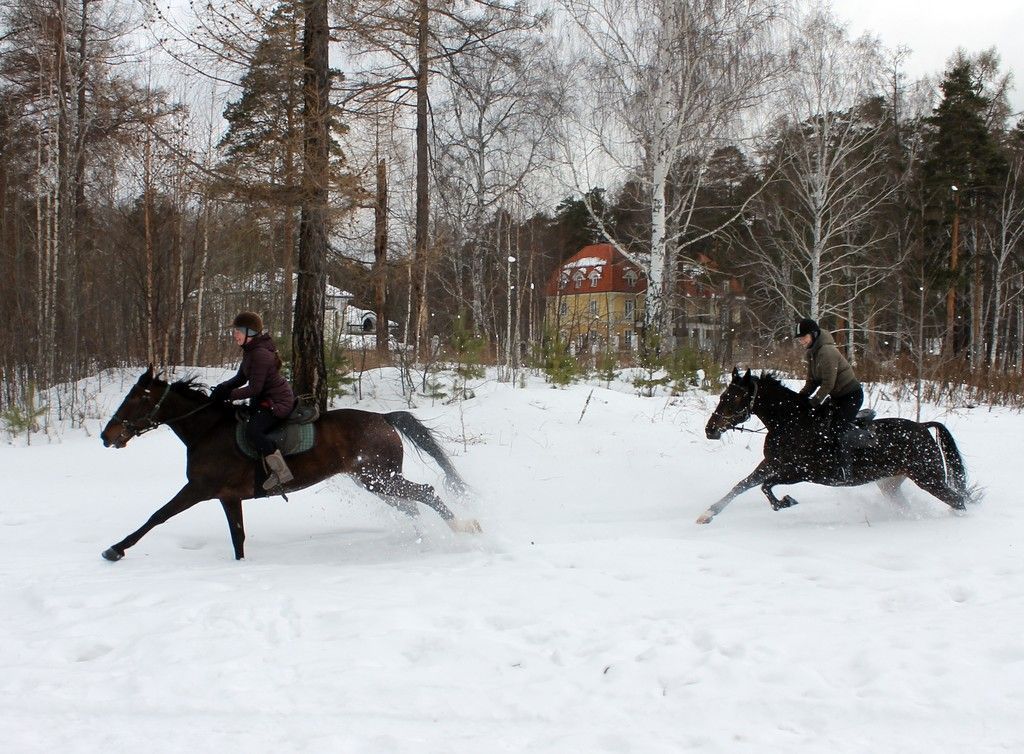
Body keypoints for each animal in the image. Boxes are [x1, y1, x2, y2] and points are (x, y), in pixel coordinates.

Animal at [97, 364, 477, 561]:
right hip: (374, 481)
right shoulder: (228, 497)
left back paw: (463, 527)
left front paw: (116, 549)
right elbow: (237, 535)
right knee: (411, 506)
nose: (106, 435)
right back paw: (424, 538)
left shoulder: (200, 489)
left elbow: (158, 516)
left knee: (426, 492)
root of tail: (383, 418)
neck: (206, 430)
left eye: (136, 398)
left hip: (380, 477)